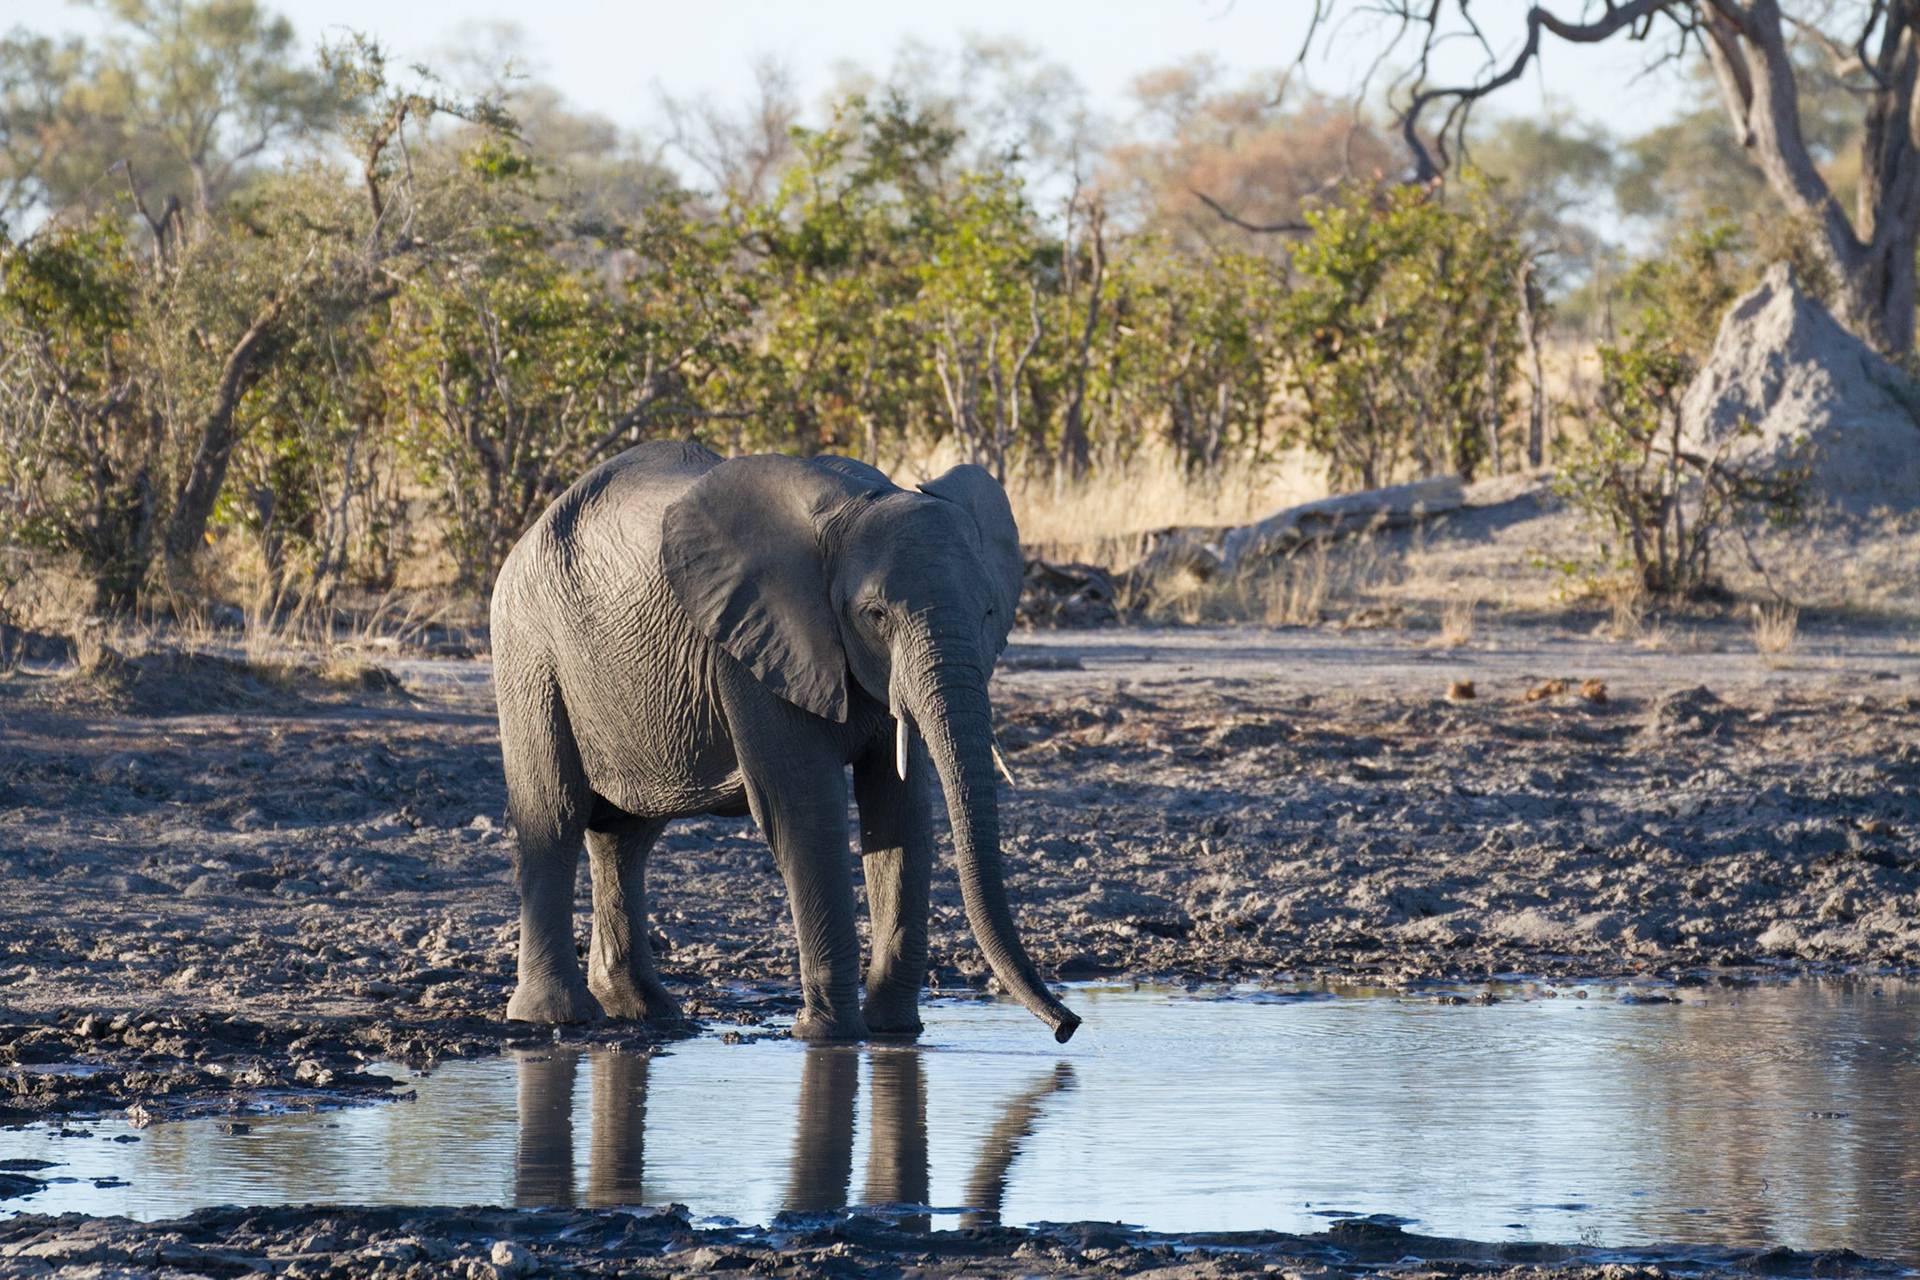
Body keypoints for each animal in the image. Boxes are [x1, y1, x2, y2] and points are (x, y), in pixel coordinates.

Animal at [490, 440, 1080, 1043]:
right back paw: (557, 1015)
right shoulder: (752, 647)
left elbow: (901, 814)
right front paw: (828, 1036)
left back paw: (646, 1011)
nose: (1068, 1027)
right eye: (875, 615)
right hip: (529, 649)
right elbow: (805, 810)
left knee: (626, 836)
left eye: (989, 612)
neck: (859, 502)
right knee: (554, 816)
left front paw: (893, 1033)